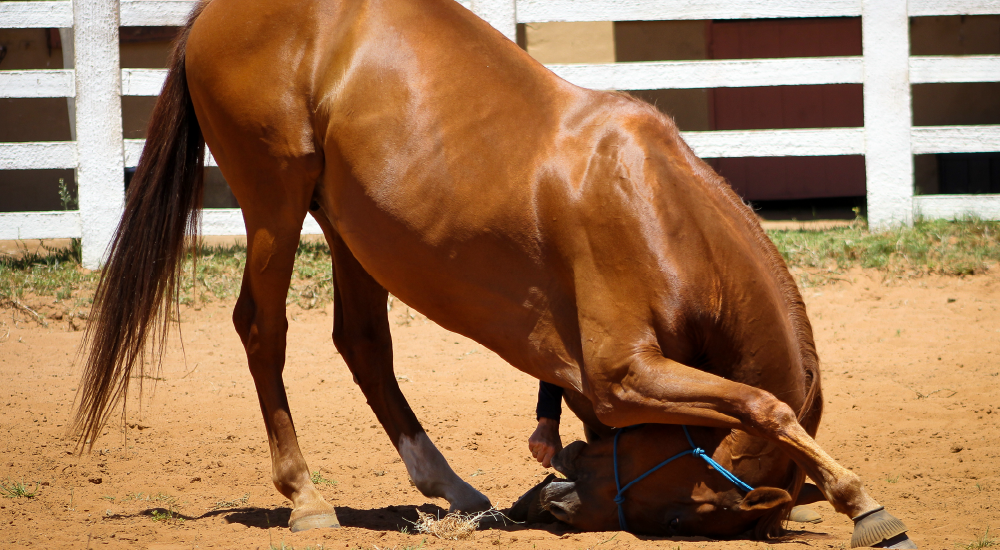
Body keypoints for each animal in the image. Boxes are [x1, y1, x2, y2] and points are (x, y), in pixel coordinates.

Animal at [74, 0, 915, 546]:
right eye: (685, 518)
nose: (557, 508)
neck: (656, 200)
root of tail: (215, 11)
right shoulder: (622, 372)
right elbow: (764, 406)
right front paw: (861, 501)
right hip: (275, 199)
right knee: (263, 329)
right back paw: (306, 495)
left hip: (350, 226)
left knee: (364, 345)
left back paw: (452, 488)